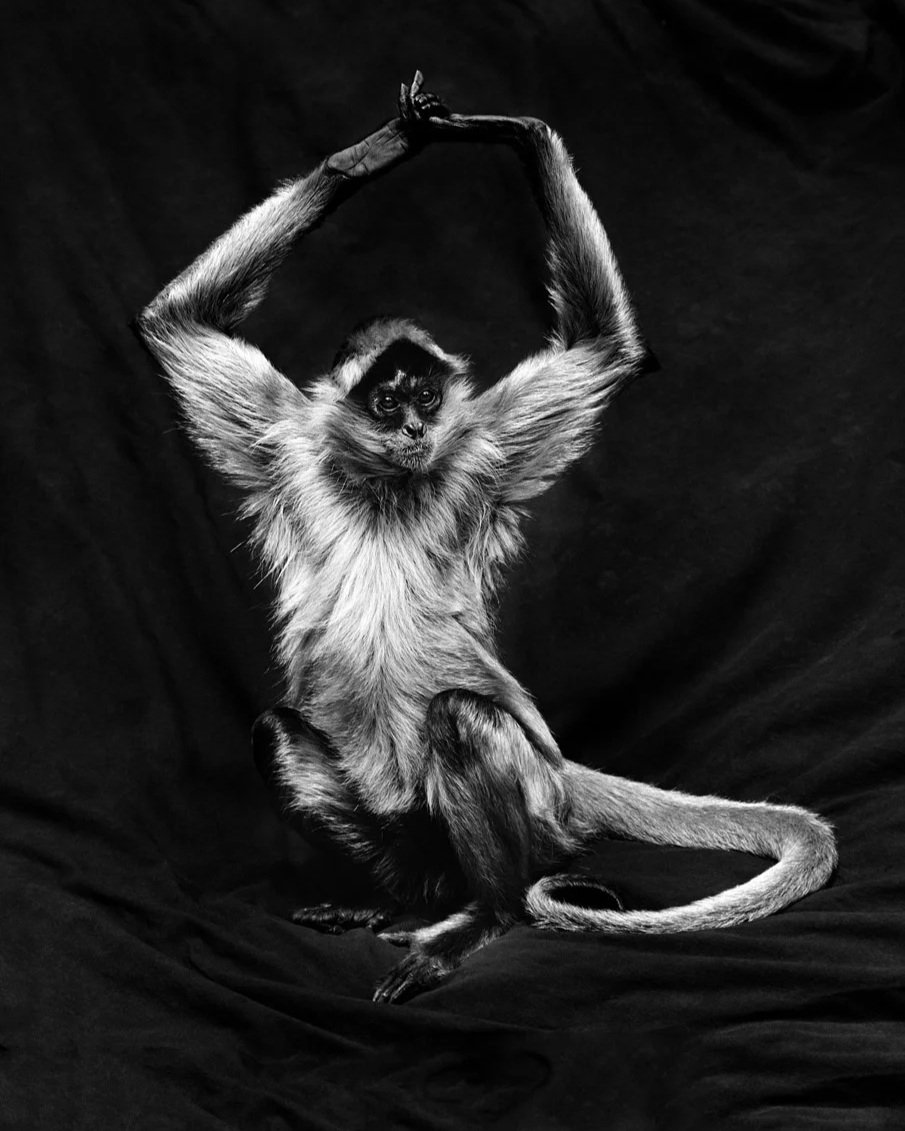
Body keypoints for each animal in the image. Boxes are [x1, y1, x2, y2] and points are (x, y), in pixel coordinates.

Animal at [137, 73, 837, 1004]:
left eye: (426, 400)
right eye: (386, 402)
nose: (411, 430)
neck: (388, 485)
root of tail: (558, 773)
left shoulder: (481, 448)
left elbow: (605, 347)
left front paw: (501, 131)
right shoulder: (285, 440)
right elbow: (172, 321)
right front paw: (374, 152)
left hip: (533, 801)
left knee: (462, 718)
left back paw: (482, 916)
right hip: (399, 821)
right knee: (279, 732)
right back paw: (394, 898)